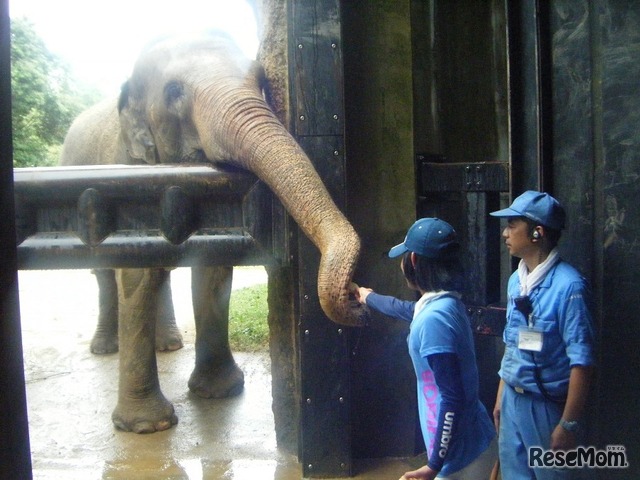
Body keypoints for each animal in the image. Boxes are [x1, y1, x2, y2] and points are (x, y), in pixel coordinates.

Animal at [59, 31, 364, 436]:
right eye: (174, 92)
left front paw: (219, 392)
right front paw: (148, 427)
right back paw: (107, 348)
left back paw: (168, 345)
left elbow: (213, 266)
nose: (357, 296)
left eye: (261, 80)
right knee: (105, 273)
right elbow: (136, 272)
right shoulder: (128, 179)